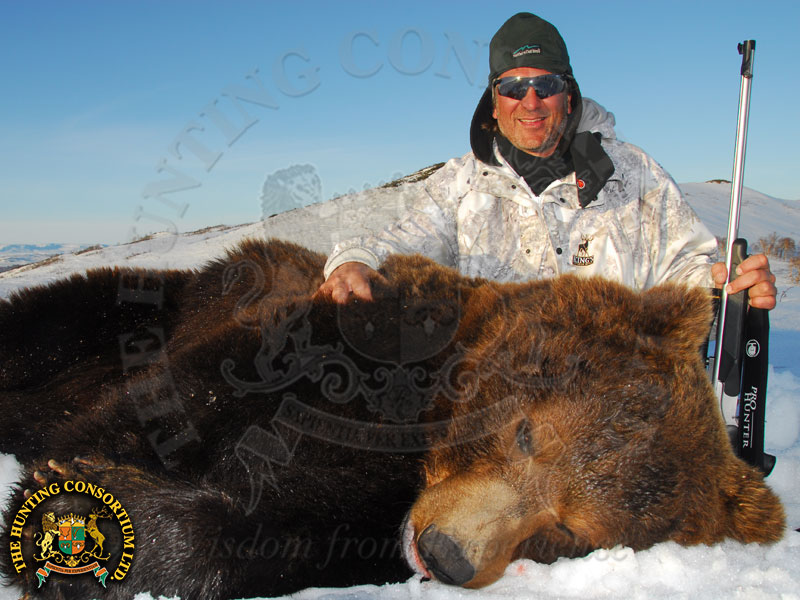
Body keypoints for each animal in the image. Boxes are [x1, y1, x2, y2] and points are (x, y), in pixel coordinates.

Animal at [0, 238, 785, 599]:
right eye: (527, 432)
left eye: (572, 533)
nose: (447, 553)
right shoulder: (346, 340)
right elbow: (188, 396)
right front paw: (64, 486)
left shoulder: (364, 517)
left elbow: (267, 534)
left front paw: (98, 511)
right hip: (150, 305)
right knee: (45, 326)